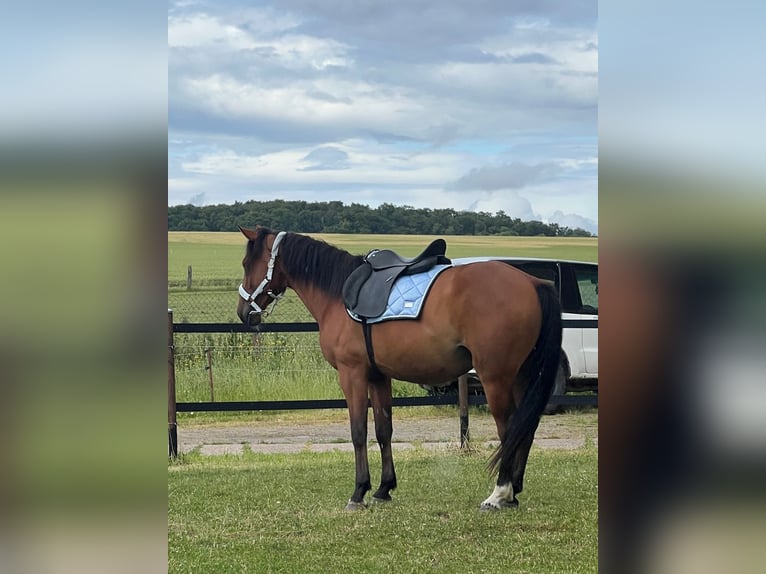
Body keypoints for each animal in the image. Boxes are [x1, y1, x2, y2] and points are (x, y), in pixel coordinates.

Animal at [236, 226, 562, 511]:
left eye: (246, 263)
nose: (243, 312)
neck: (338, 293)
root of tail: (534, 283)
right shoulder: (379, 376)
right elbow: (383, 430)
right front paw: (383, 488)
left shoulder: (352, 374)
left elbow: (358, 431)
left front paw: (358, 492)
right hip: (522, 376)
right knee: (526, 427)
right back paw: (514, 491)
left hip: (495, 377)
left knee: (508, 428)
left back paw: (499, 493)